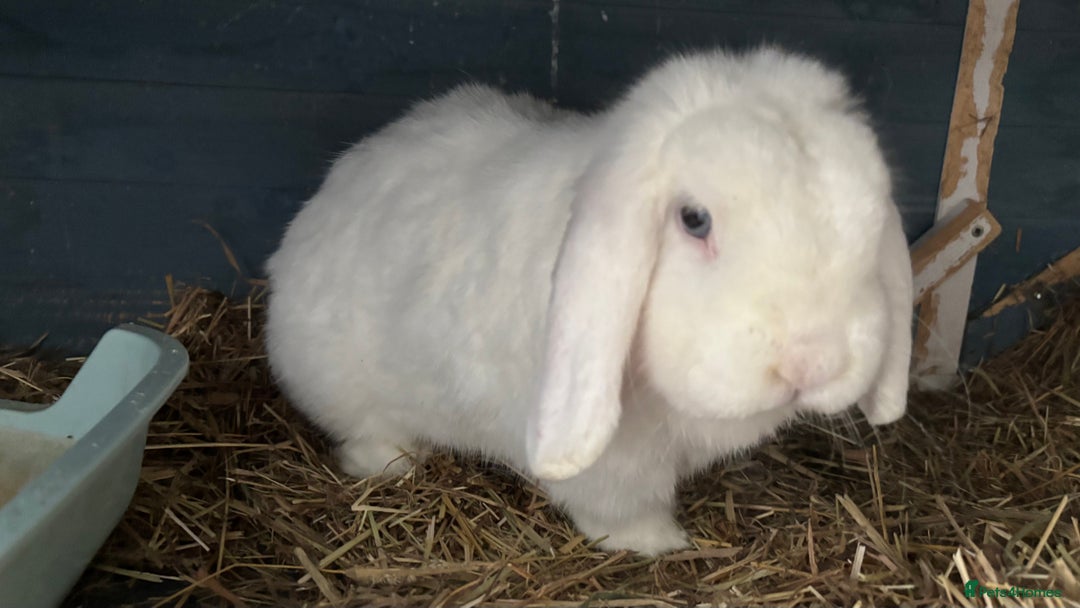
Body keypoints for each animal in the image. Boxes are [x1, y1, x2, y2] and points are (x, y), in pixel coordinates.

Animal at [264, 45, 914, 556]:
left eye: (870, 220)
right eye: (694, 220)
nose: (814, 362)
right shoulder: (616, 463)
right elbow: (619, 507)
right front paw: (658, 543)